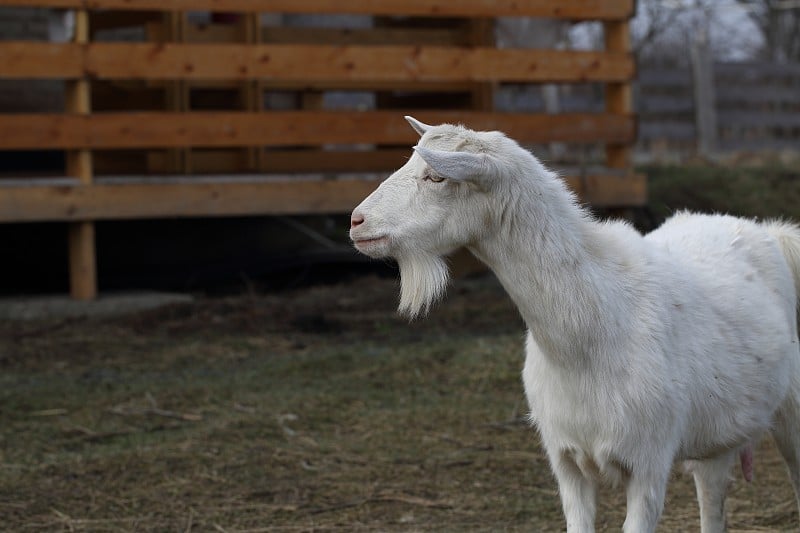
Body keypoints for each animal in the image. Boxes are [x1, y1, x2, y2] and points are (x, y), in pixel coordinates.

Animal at [354, 117, 800, 532]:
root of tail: (770, 232)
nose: (357, 222)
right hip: (719, 437)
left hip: (791, 410)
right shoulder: (566, 463)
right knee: (713, 500)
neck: (595, 330)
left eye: (437, 176)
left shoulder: (649, 464)